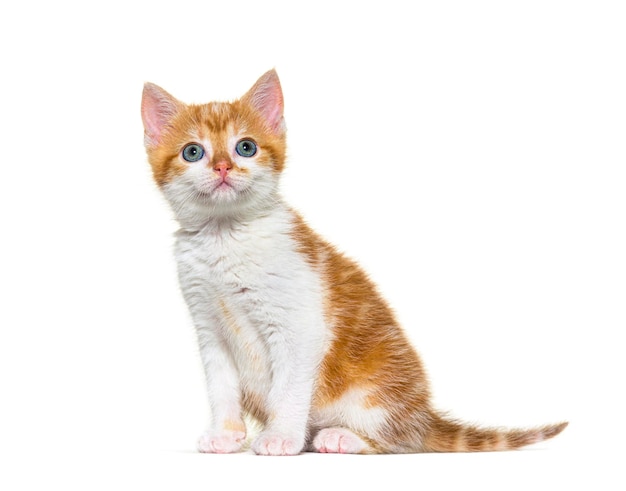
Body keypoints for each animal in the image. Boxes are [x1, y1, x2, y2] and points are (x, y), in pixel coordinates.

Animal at [140, 70, 564, 458]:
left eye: (246, 147)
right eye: (193, 152)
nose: (224, 167)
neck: (225, 237)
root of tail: (424, 416)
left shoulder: (300, 323)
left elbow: (289, 386)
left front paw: (281, 437)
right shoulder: (209, 326)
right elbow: (221, 386)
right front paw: (226, 435)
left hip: (375, 395)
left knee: (400, 441)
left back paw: (340, 437)